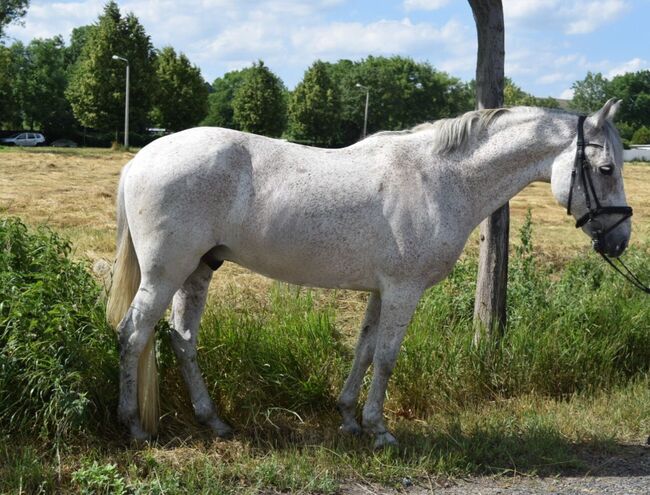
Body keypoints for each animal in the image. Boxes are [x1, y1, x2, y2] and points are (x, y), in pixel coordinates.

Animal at [106, 100, 628, 450]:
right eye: (605, 168)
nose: (620, 240)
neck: (439, 179)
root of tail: (140, 159)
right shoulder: (403, 290)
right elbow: (387, 358)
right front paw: (380, 431)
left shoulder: (381, 290)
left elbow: (363, 350)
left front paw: (350, 419)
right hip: (166, 272)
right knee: (133, 334)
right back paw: (133, 427)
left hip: (198, 269)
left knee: (182, 339)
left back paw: (213, 422)